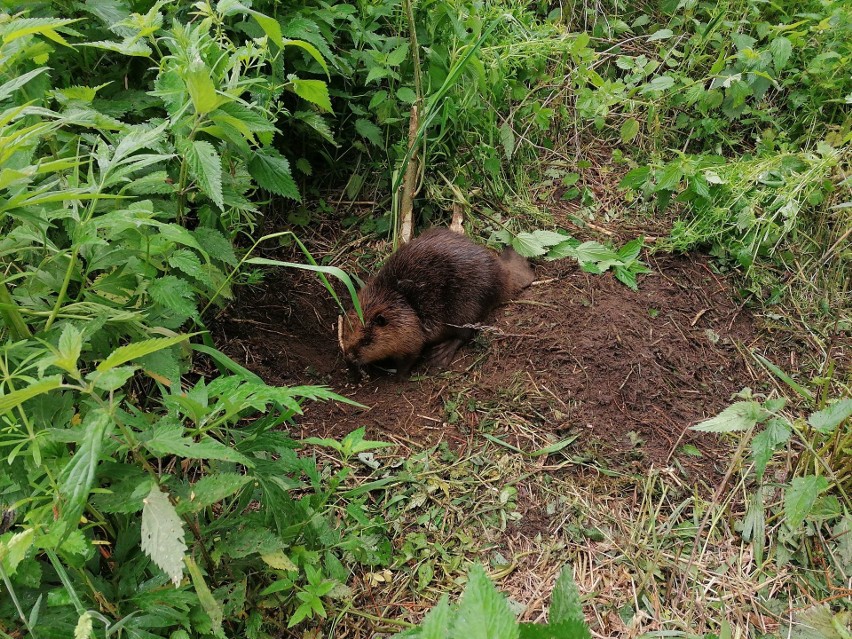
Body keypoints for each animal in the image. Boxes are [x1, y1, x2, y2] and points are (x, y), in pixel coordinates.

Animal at [338, 228, 532, 376]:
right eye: (345, 334)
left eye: (366, 341)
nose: (349, 358)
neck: (397, 300)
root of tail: (504, 275)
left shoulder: (409, 331)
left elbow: (412, 353)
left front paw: (398, 374)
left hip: (466, 306)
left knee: (465, 333)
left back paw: (441, 354)